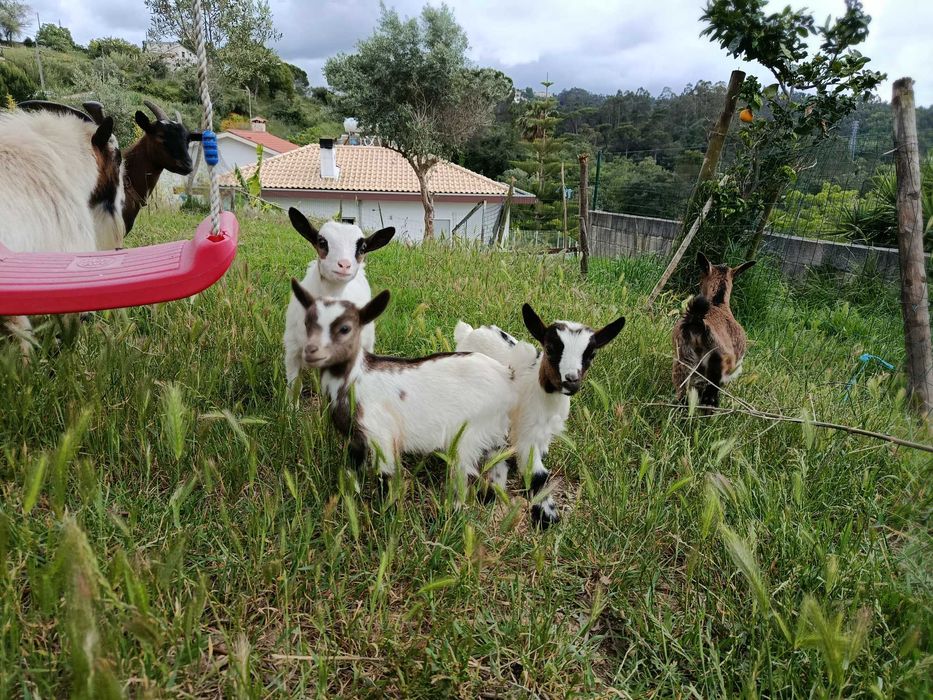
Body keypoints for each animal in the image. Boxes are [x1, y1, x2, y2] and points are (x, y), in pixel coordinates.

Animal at [289, 280, 515, 498]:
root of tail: (505, 375)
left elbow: (385, 478)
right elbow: (352, 474)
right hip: (492, 433)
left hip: (470, 434)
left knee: (464, 475)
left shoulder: (381, 436)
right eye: (307, 323)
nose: (310, 351)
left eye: (345, 328)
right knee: (498, 467)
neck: (355, 380)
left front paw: (383, 509)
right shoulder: (356, 441)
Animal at [454, 304, 626, 528]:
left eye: (591, 354)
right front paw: (546, 515)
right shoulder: (527, 432)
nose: (571, 381)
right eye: (550, 348)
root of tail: (470, 331)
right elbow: (537, 474)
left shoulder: (543, 433)